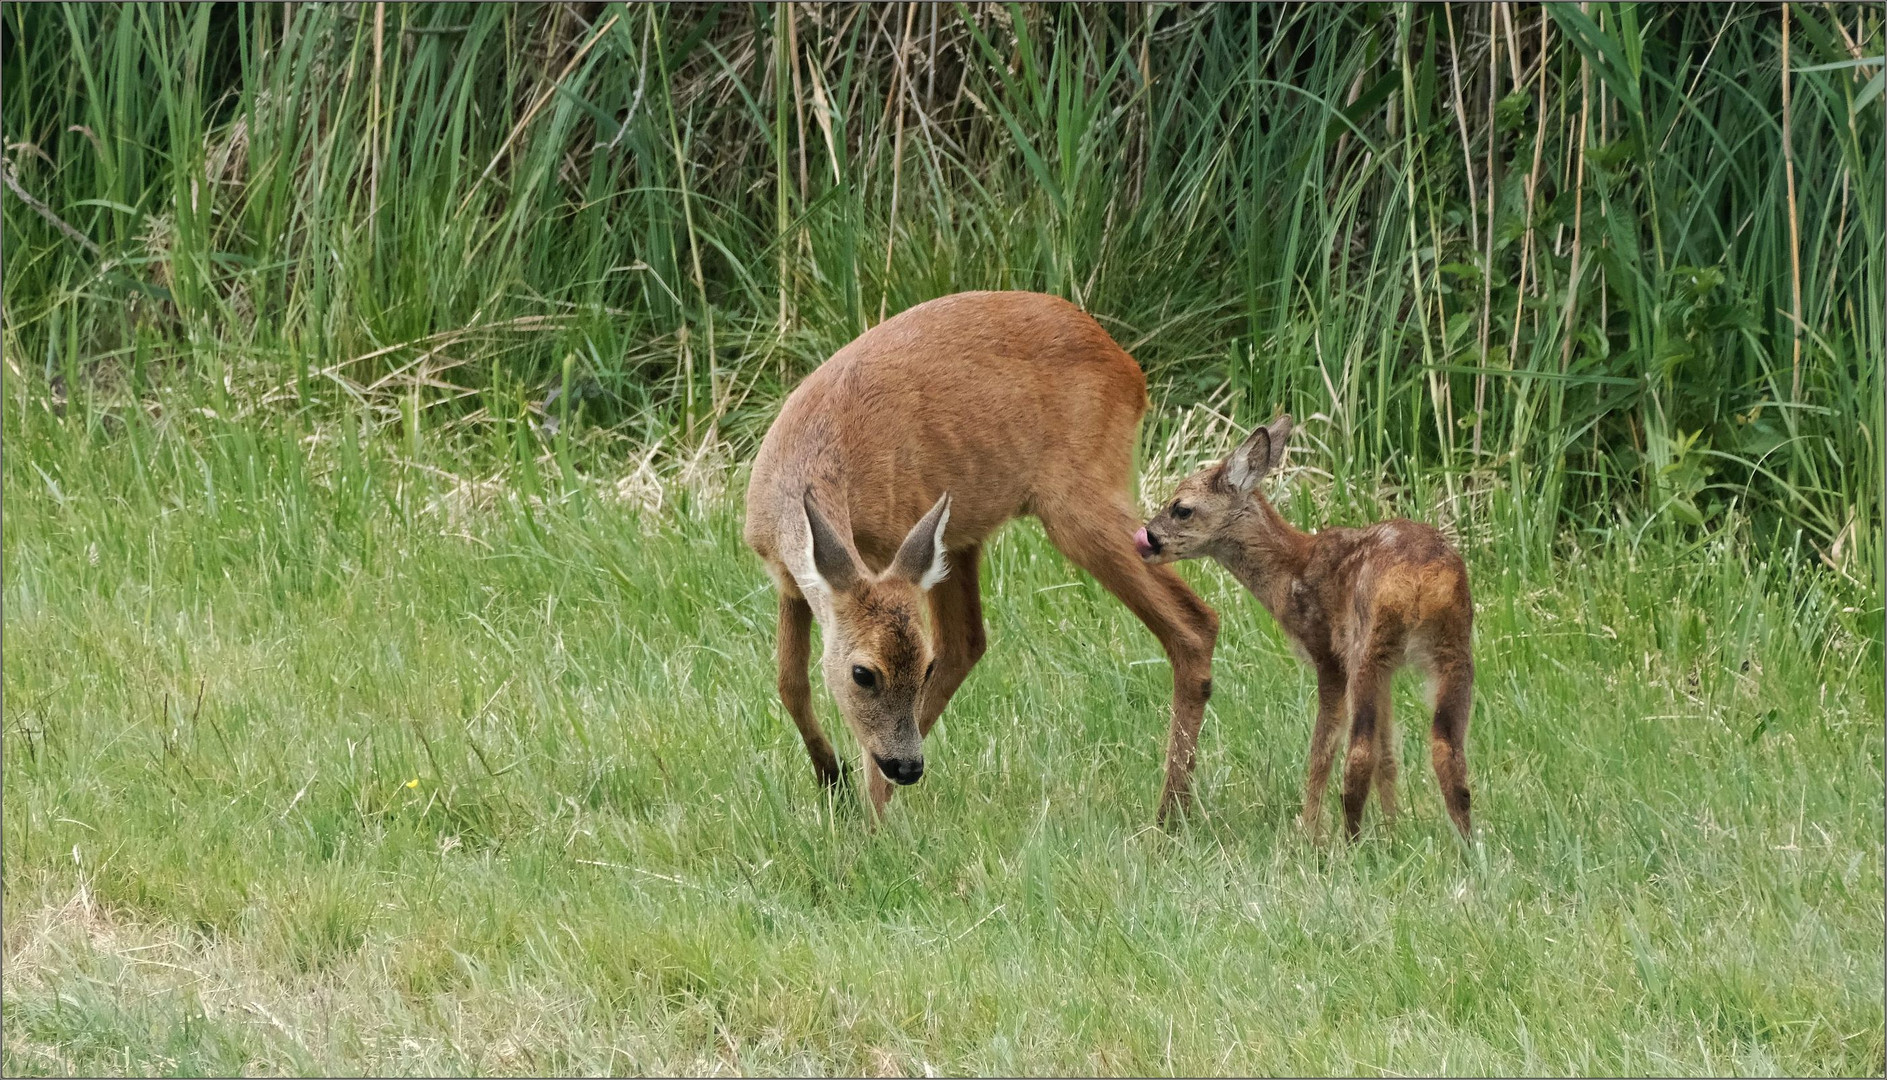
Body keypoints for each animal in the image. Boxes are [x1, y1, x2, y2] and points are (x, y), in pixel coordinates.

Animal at [747, 290, 1222, 823]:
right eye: (862, 674)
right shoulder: (789, 581)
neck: (809, 463)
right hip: (962, 533)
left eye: (920, 667)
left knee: (1194, 621)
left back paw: (1169, 817)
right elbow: (790, 683)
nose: (908, 768)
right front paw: (832, 777)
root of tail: (1131, 371)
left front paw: (866, 814)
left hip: (1079, 498)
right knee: (966, 643)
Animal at [1132, 415, 1471, 842]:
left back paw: (1350, 839)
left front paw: (1308, 831)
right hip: (1453, 644)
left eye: (1181, 509)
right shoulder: (1389, 670)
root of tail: (1424, 581)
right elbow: (1389, 753)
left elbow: (1323, 749)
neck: (1293, 571)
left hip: (1366, 645)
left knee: (1359, 752)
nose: (1148, 537)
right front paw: (1393, 831)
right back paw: (1467, 842)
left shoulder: (1328, 654)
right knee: (1447, 748)